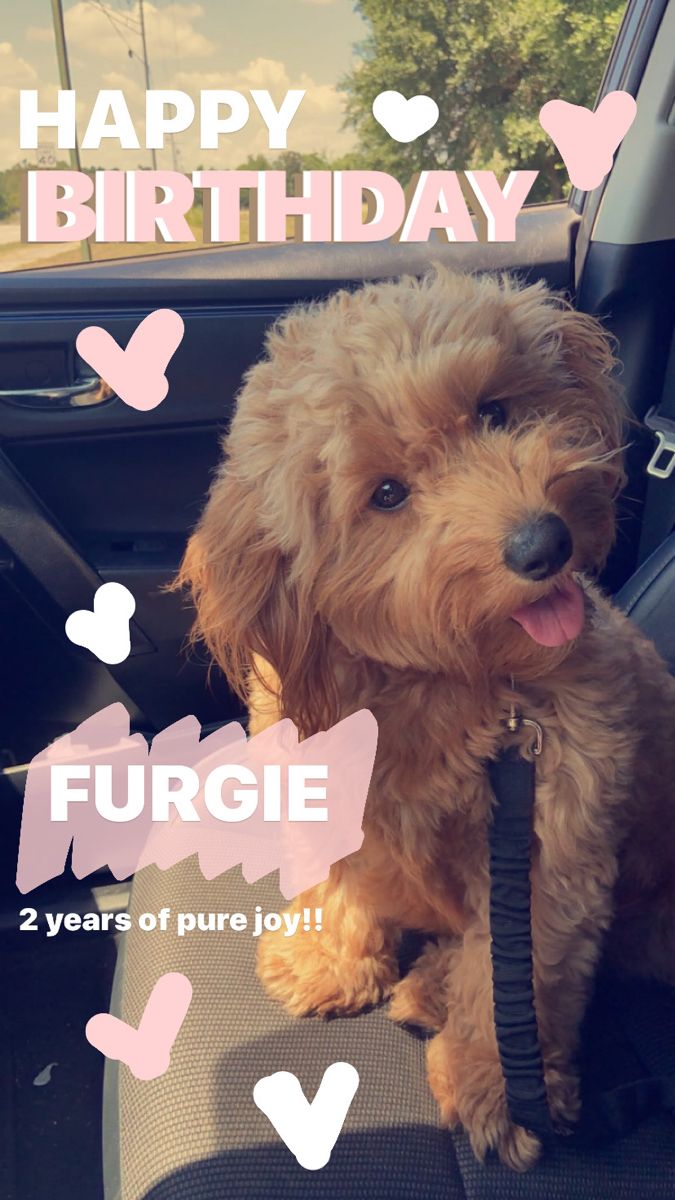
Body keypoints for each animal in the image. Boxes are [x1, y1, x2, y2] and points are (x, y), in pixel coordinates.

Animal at [176, 267, 672, 1166]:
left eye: (494, 411)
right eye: (385, 494)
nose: (542, 543)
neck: (441, 680)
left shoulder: (553, 832)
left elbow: (522, 971)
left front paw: (497, 1092)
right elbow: (342, 877)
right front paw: (327, 958)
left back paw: (437, 990)